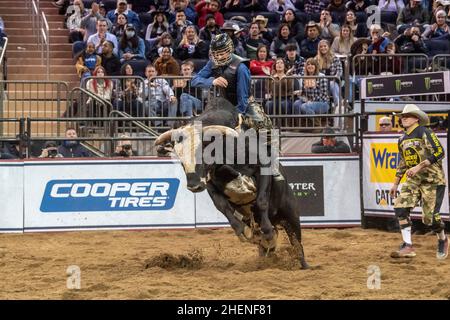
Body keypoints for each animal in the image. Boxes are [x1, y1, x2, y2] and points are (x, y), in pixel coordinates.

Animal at [156, 98, 310, 270]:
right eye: (180, 158)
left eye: (202, 153)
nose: (193, 186)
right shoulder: (210, 185)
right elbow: (222, 206)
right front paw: (243, 231)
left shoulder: (263, 166)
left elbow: (261, 201)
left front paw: (268, 233)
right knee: (266, 248)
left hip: (291, 217)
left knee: (297, 245)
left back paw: (302, 264)